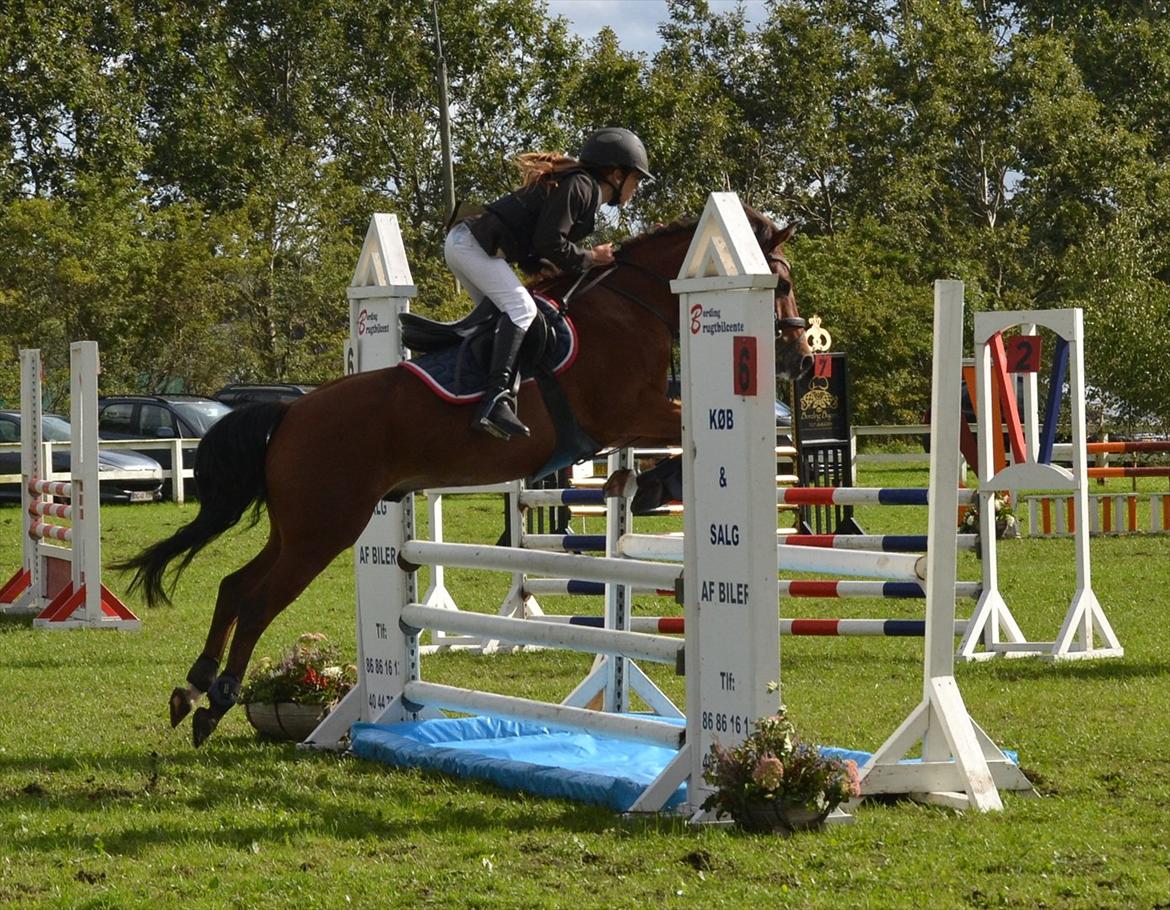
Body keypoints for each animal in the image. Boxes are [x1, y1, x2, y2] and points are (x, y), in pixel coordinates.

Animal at [114, 205, 812, 747]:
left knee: (235, 585)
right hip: (325, 529)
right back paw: (217, 700)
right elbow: (684, 429)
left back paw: (193, 688)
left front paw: (633, 488)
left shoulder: (631, 418)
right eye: (780, 280)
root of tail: (290, 411)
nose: (803, 360)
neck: (628, 305)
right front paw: (653, 486)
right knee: (259, 599)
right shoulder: (627, 413)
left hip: (300, 526)